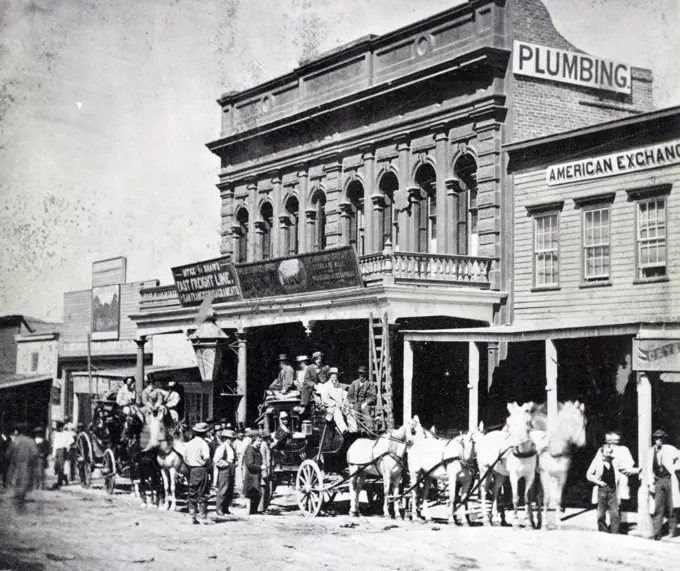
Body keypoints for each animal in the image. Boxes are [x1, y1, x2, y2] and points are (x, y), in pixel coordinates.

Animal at [528, 402, 588, 532]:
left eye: (585, 423)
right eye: (571, 424)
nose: (582, 446)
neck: (553, 449)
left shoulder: (561, 475)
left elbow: (557, 499)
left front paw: (558, 524)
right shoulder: (545, 474)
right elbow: (546, 498)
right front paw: (545, 525)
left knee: (537, 496)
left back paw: (538, 519)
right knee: (531, 496)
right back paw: (531, 520)